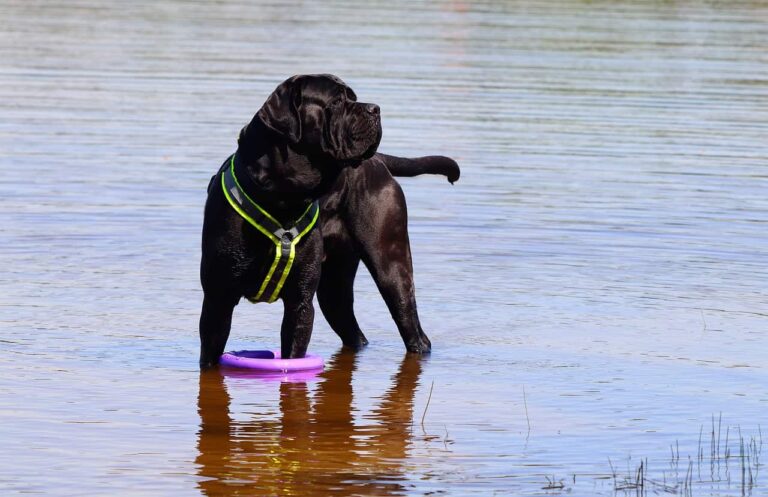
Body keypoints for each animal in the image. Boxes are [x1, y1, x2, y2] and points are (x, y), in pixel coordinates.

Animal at [201, 74, 460, 368]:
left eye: (353, 97)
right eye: (336, 101)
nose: (375, 109)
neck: (282, 197)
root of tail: (379, 162)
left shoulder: (300, 304)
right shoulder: (217, 300)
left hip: (391, 267)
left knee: (412, 327)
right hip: (334, 287)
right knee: (352, 329)